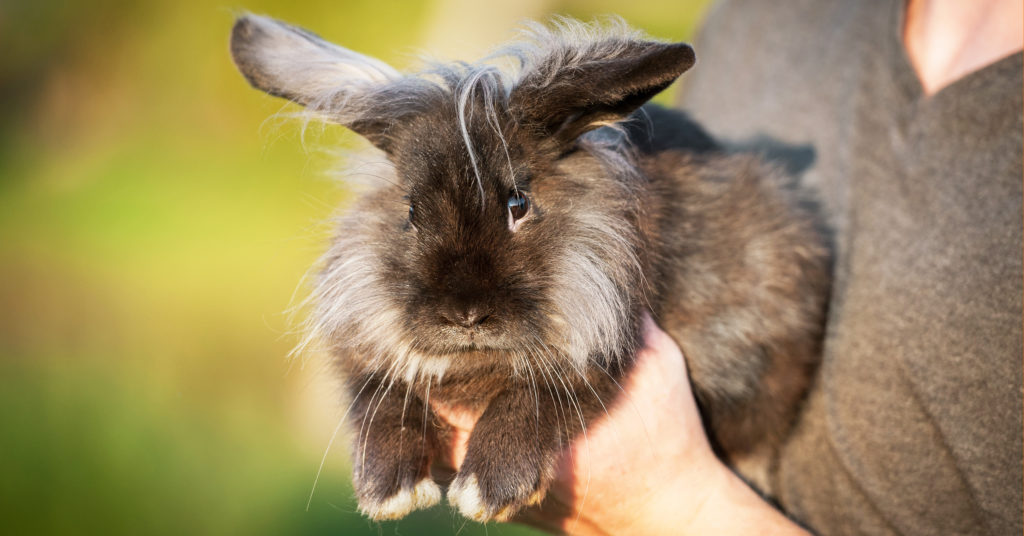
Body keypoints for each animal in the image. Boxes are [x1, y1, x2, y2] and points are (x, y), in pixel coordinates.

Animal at [230, 15, 831, 524]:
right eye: (410, 212)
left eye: (518, 204)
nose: (465, 315)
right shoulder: (368, 359)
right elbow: (382, 401)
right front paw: (388, 489)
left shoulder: (599, 349)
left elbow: (535, 398)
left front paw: (488, 489)